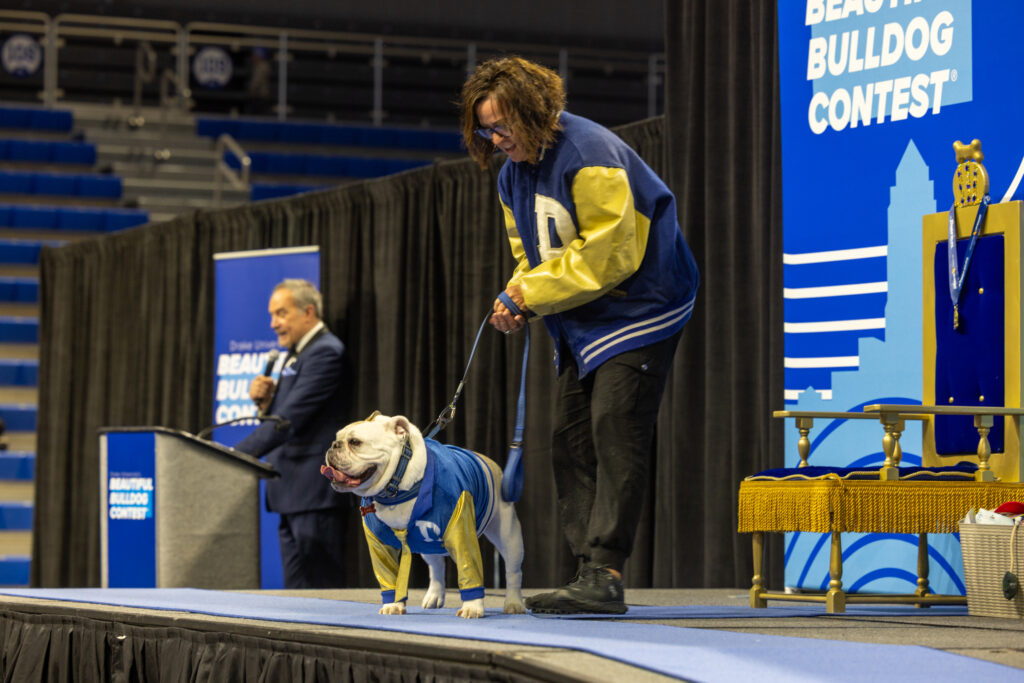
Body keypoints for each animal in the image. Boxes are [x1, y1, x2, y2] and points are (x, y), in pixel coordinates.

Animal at [321, 412, 525, 618]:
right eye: (337, 439)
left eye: (355, 442)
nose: (333, 445)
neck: (395, 490)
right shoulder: (379, 544)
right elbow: (388, 575)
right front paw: (393, 604)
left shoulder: (462, 532)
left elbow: (469, 569)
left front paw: (472, 607)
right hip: (426, 544)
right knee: (436, 566)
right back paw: (434, 596)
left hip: (508, 535)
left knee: (513, 570)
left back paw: (514, 603)